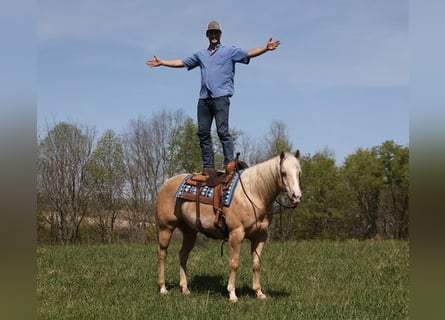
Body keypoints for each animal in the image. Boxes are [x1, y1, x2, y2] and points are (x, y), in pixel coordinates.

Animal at [153, 150, 302, 302]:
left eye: (299, 173)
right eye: (283, 173)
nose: (296, 196)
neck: (253, 193)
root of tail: (166, 183)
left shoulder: (260, 236)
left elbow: (256, 264)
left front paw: (259, 293)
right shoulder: (236, 234)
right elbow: (234, 263)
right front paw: (232, 294)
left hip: (190, 232)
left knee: (183, 254)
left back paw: (185, 288)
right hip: (166, 228)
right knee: (162, 254)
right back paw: (163, 288)